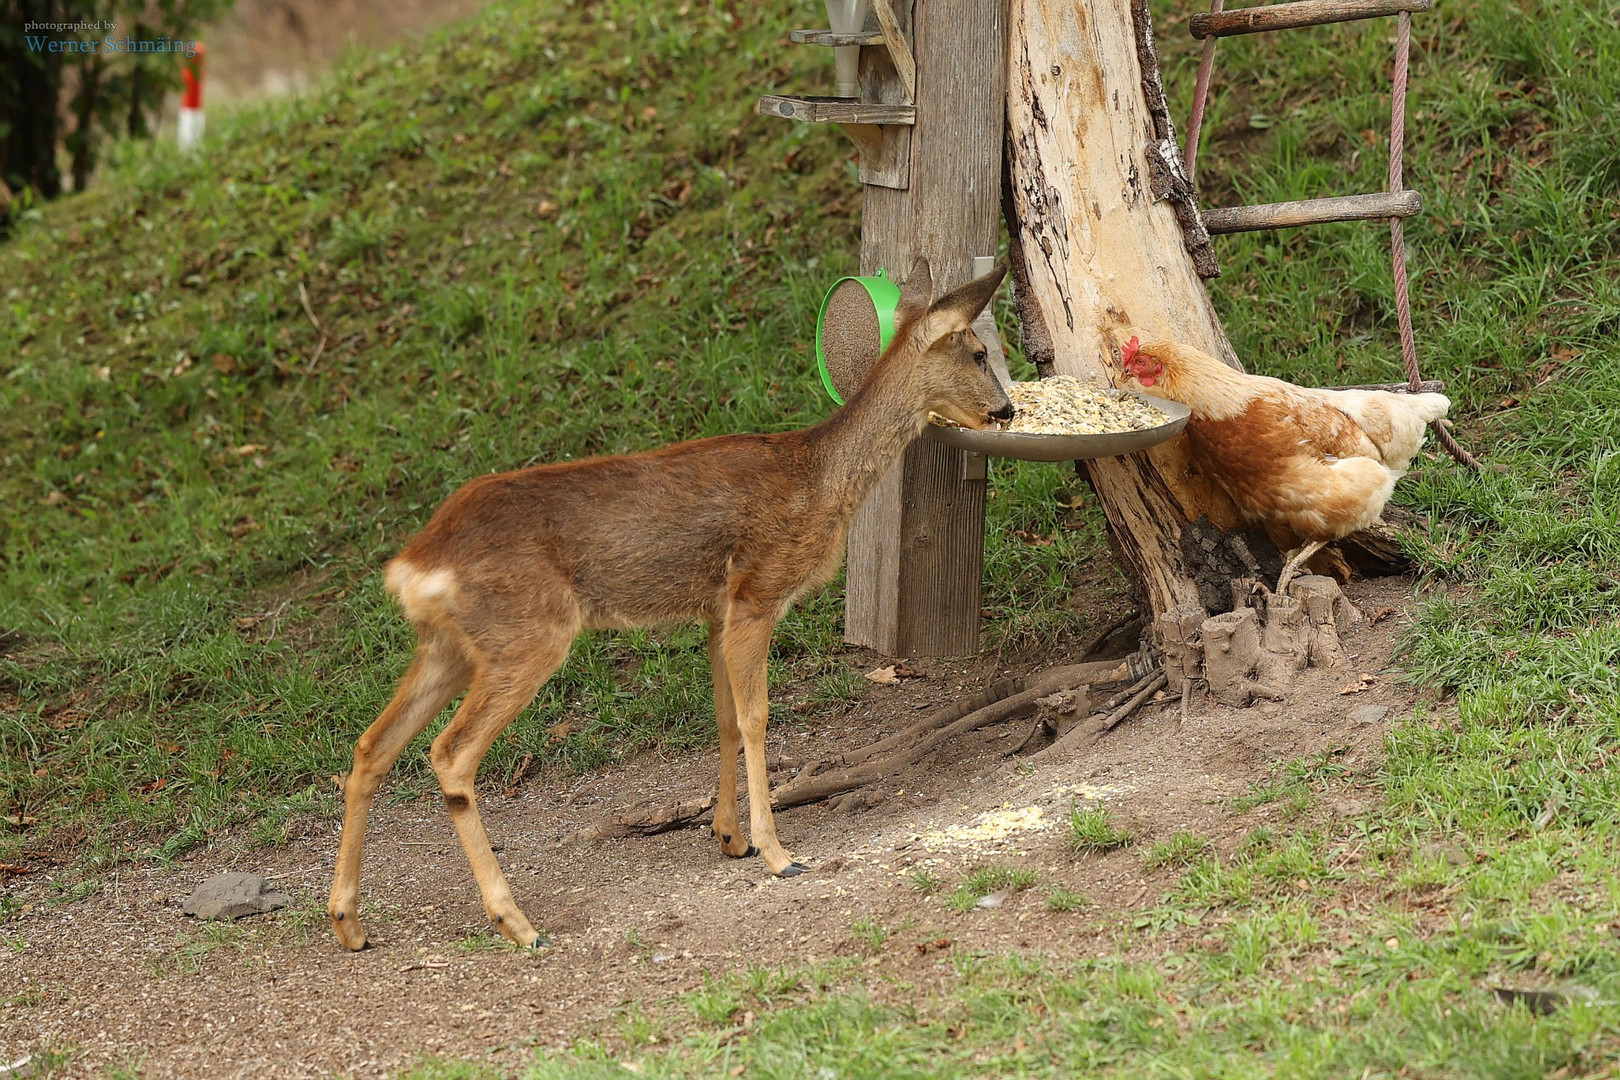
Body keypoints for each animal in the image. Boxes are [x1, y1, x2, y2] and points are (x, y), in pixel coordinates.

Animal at [328, 257, 1010, 952]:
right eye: (980, 352)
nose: (1006, 409)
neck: (818, 480)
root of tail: (412, 566)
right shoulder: (757, 591)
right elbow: (758, 717)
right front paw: (777, 853)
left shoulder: (715, 610)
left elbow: (725, 718)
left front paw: (729, 836)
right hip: (526, 633)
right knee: (449, 754)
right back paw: (516, 921)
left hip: (452, 646)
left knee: (369, 747)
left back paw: (350, 923)